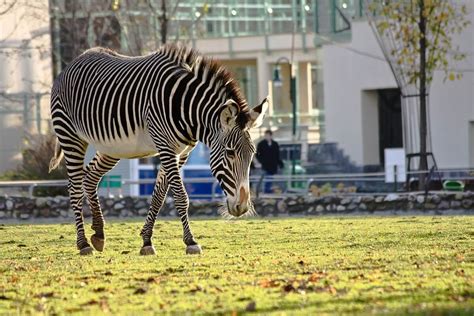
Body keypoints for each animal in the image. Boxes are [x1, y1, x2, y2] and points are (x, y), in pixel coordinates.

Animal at [50, 44, 268, 256]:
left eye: (252, 155)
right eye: (230, 153)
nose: (242, 207)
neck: (185, 107)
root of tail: (71, 64)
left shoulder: (181, 152)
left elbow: (158, 197)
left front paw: (146, 241)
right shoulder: (165, 147)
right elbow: (181, 196)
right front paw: (190, 242)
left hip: (112, 148)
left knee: (90, 177)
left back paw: (99, 234)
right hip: (70, 136)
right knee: (74, 187)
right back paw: (83, 244)